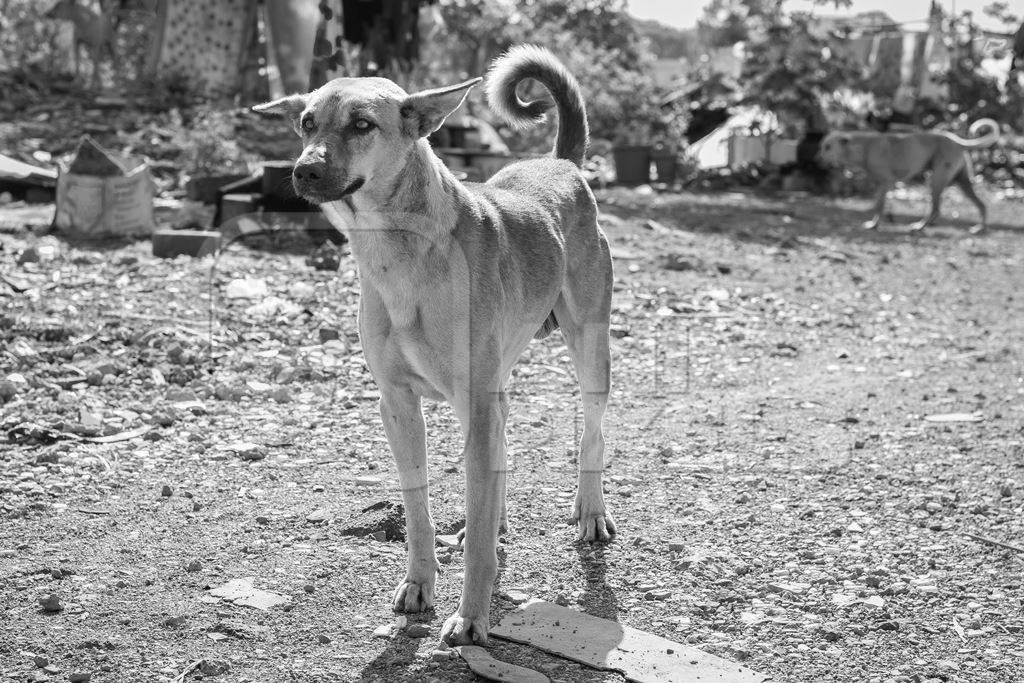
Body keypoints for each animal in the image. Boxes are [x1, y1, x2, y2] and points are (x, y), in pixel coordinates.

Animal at [253, 45, 614, 643]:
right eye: (306, 122)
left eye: (362, 124)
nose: (304, 171)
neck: (398, 253)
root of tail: (562, 164)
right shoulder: (398, 405)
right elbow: (417, 508)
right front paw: (420, 582)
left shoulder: (474, 401)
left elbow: (478, 540)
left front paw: (471, 617)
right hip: (502, 384)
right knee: (501, 455)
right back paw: (491, 523)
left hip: (590, 351)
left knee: (592, 434)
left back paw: (588, 511)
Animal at [815, 118, 999, 233]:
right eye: (822, 146)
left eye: (828, 147)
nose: (817, 159)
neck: (865, 147)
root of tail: (957, 141)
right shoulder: (882, 184)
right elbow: (879, 204)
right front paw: (878, 222)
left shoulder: (886, 182)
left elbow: (879, 205)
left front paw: (874, 225)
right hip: (961, 181)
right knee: (982, 205)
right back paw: (980, 228)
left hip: (935, 181)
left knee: (936, 209)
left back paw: (920, 227)